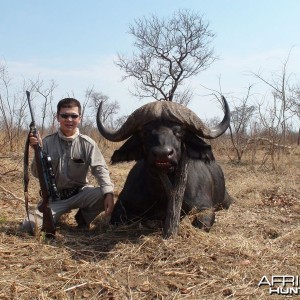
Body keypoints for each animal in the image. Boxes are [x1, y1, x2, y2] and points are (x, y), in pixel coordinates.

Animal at [96, 97, 232, 238]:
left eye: (179, 131)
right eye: (145, 132)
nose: (163, 154)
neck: (160, 191)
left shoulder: (205, 208)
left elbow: (202, 223)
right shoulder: (120, 205)